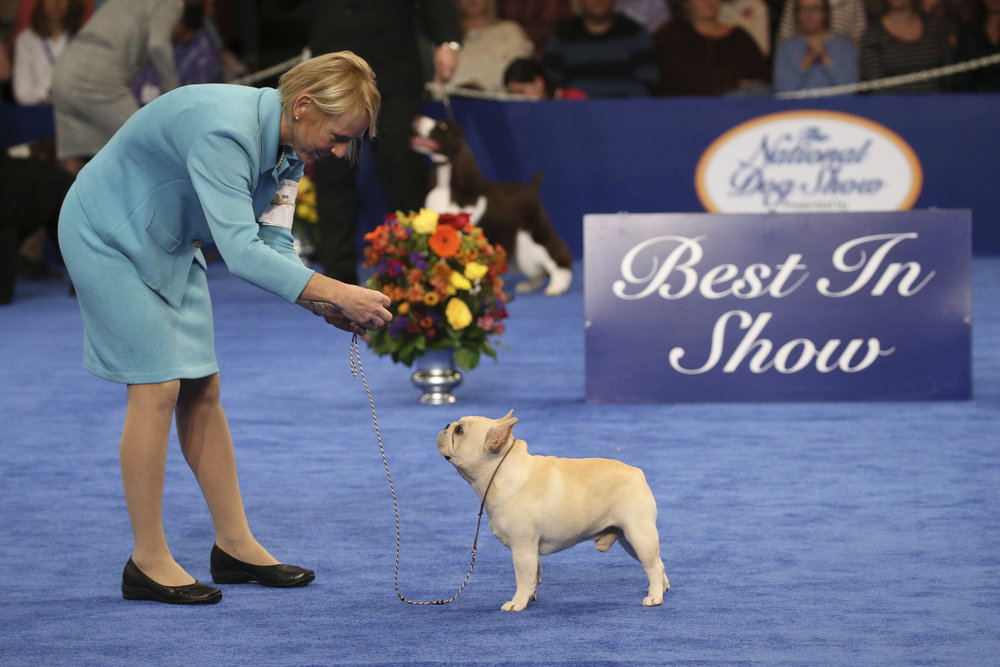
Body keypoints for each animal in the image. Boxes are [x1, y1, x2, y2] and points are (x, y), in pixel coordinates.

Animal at [410, 116, 576, 296]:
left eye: (443, 126)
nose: (417, 118)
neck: (447, 186)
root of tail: (532, 187)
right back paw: (529, 285)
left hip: (533, 230)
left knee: (556, 253)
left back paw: (557, 286)